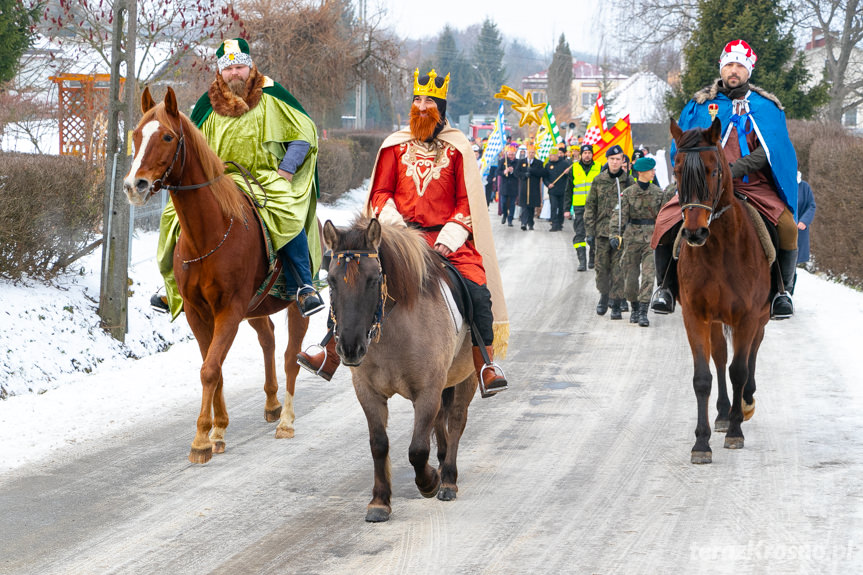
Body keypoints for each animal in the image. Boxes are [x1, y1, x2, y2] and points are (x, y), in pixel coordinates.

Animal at [121, 85, 310, 464]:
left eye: (167, 136)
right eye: (136, 135)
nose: (135, 185)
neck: (210, 233)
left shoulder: (229, 310)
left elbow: (210, 368)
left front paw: (200, 441)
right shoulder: (198, 312)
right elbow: (214, 366)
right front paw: (218, 431)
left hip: (296, 305)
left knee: (291, 359)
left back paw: (285, 420)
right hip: (257, 307)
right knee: (267, 338)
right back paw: (271, 403)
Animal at [326, 216, 480, 520]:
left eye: (374, 280)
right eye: (330, 280)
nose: (349, 347)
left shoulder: (428, 391)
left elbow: (417, 449)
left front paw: (430, 481)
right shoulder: (368, 392)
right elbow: (378, 444)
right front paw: (379, 501)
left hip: (465, 376)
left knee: (456, 419)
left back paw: (448, 479)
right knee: (440, 420)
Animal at [672, 116, 772, 464]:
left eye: (713, 170)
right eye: (676, 170)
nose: (694, 233)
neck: (719, 250)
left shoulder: (747, 316)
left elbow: (739, 370)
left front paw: (736, 432)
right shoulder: (695, 316)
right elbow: (703, 377)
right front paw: (701, 444)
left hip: (760, 317)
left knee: (752, 353)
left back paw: (745, 404)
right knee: (719, 356)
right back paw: (723, 412)